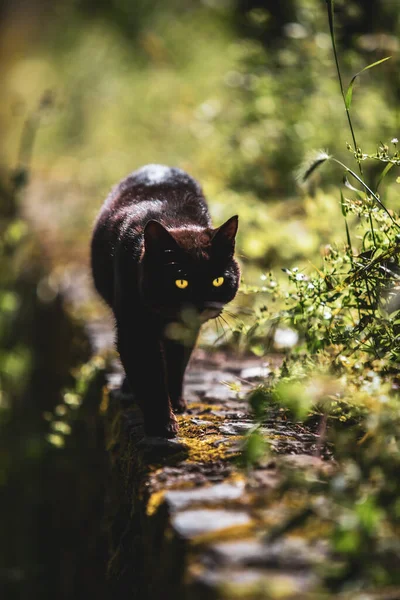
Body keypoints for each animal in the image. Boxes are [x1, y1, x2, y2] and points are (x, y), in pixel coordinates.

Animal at [90, 166, 239, 438]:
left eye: (217, 281)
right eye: (180, 282)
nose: (200, 304)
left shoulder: (186, 330)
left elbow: (176, 364)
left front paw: (176, 402)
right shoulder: (134, 327)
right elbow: (149, 376)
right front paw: (163, 424)